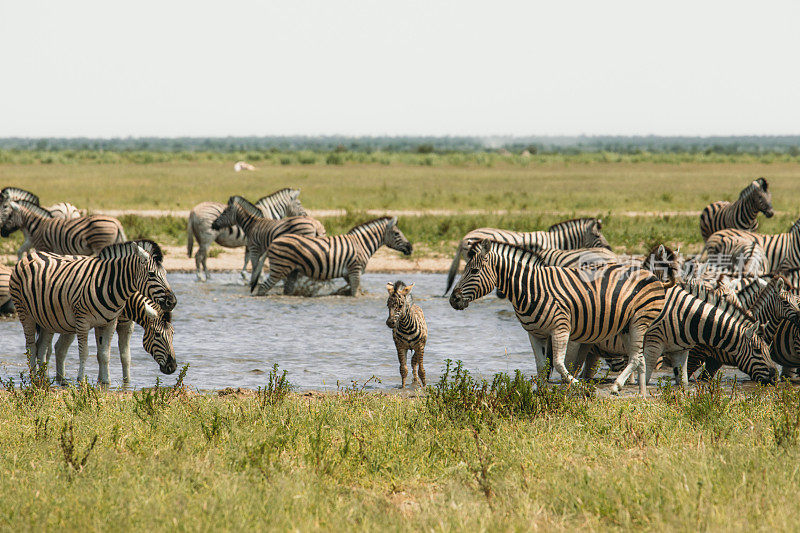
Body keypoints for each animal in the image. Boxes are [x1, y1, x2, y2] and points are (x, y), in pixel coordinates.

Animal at [255, 217, 412, 300]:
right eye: (397, 234)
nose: (411, 248)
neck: (361, 244)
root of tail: (273, 242)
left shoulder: (349, 273)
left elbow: (357, 289)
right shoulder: (355, 269)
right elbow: (355, 292)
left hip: (292, 270)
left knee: (286, 289)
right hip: (279, 268)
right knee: (263, 287)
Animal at [446, 241, 672, 394]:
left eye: (474, 271)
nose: (453, 299)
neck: (530, 289)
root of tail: (652, 275)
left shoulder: (560, 328)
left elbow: (558, 363)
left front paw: (578, 385)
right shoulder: (535, 334)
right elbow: (541, 366)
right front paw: (540, 392)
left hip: (639, 322)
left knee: (634, 357)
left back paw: (616, 386)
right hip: (626, 326)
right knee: (639, 358)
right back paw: (641, 393)